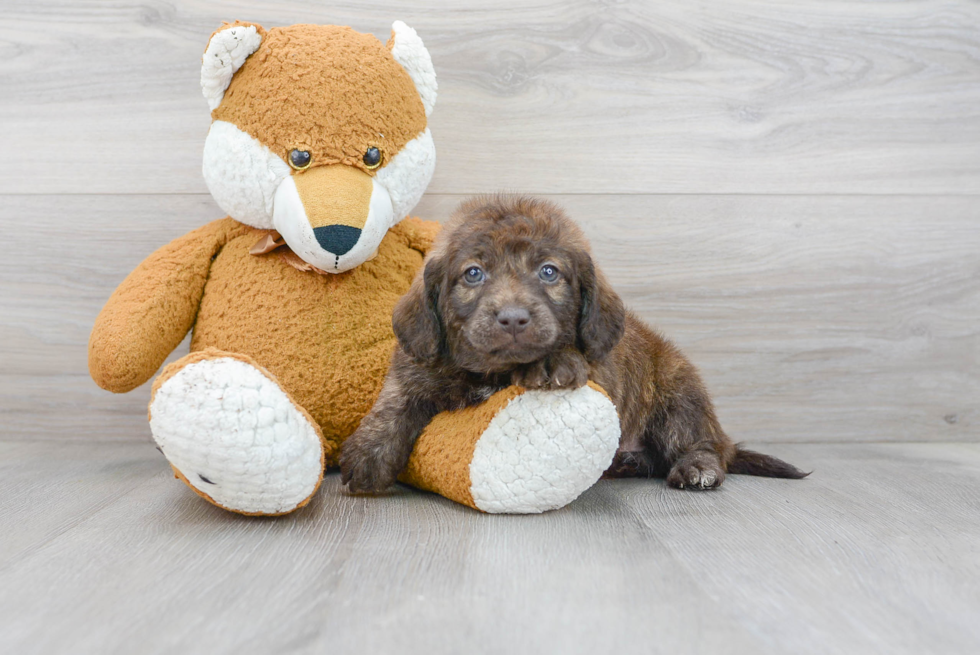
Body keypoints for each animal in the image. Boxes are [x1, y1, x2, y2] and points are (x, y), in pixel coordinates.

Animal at [340, 197, 808, 494]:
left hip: (679, 397)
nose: (513, 318)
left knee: (706, 445)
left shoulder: (602, 371)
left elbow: (574, 354)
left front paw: (550, 361)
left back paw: (696, 468)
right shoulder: (418, 363)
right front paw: (369, 453)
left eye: (549, 272)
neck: (491, 371)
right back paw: (630, 462)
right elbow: (396, 400)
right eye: (473, 274)